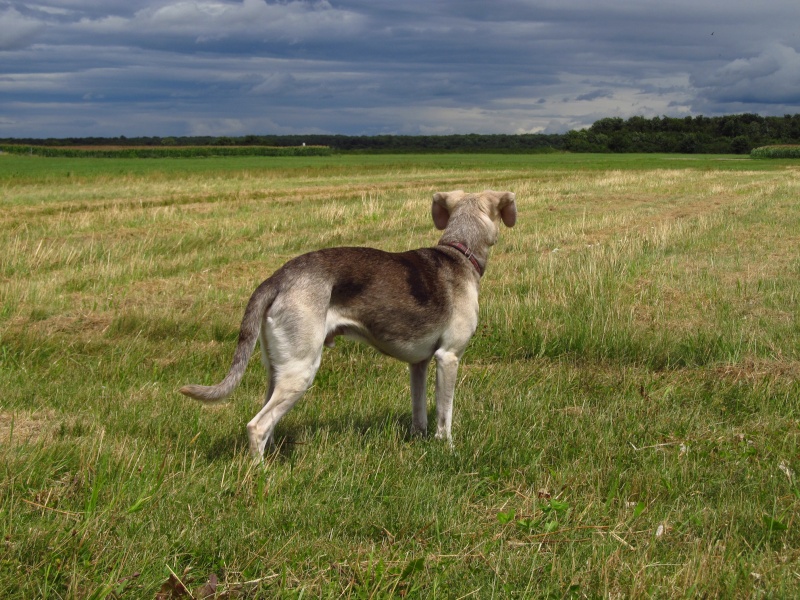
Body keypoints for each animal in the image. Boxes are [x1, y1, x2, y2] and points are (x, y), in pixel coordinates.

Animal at [180, 190, 520, 458]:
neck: (459, 253)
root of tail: (277, 279)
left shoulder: (419, 364)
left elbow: (419, 411)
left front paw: (419, 441)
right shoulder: (448, 357)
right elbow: (444, 416)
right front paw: (446, 448)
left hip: (278, 370)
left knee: (268, 423)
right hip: (301, 369)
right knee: (257, 426)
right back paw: (262, 474)